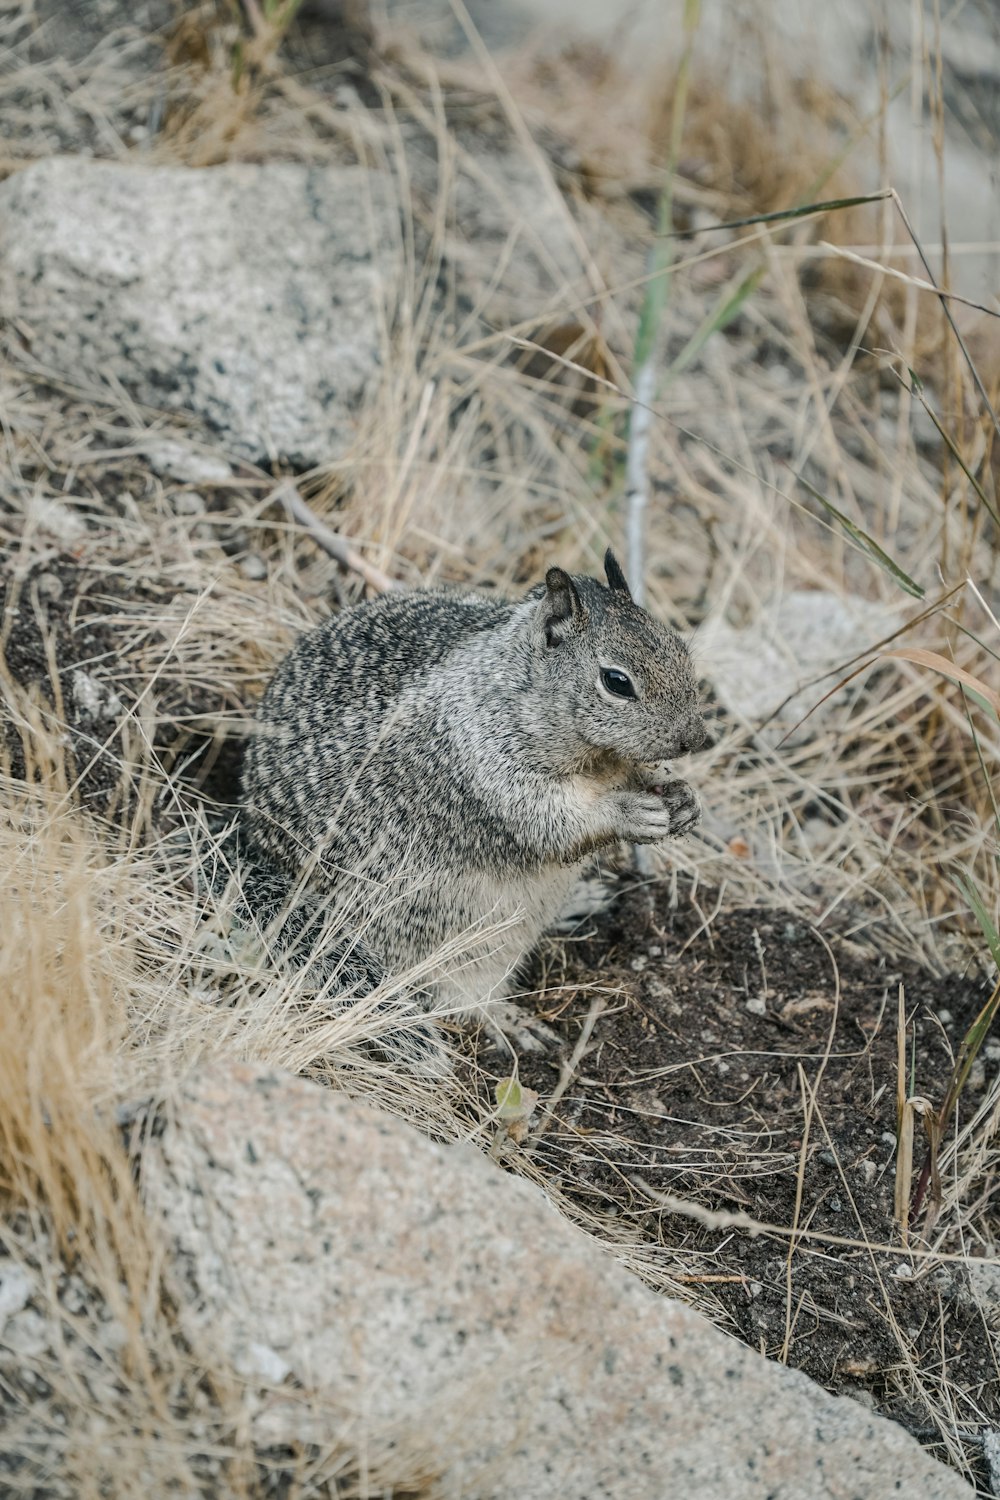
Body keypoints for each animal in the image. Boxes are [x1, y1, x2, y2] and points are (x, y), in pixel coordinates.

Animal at [238, 552, 707, 1068]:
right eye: (617, 682)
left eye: (681, 649)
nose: (696, 739)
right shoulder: (483, 763)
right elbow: (550, 821)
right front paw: (629, 813)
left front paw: (683, 798)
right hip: (446, 936)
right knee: (460, 996)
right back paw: (510, 1021)